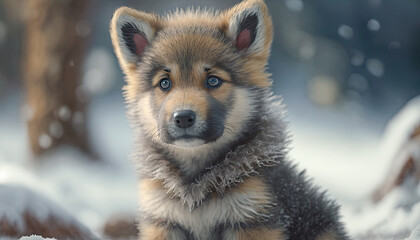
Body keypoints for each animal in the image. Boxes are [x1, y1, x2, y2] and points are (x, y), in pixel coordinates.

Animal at [110, 0, 350, 239]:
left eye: (213, 80)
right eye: (165, 83)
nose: (183, 118)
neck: (196, 181)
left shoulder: (251, 217)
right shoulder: (163, 220)